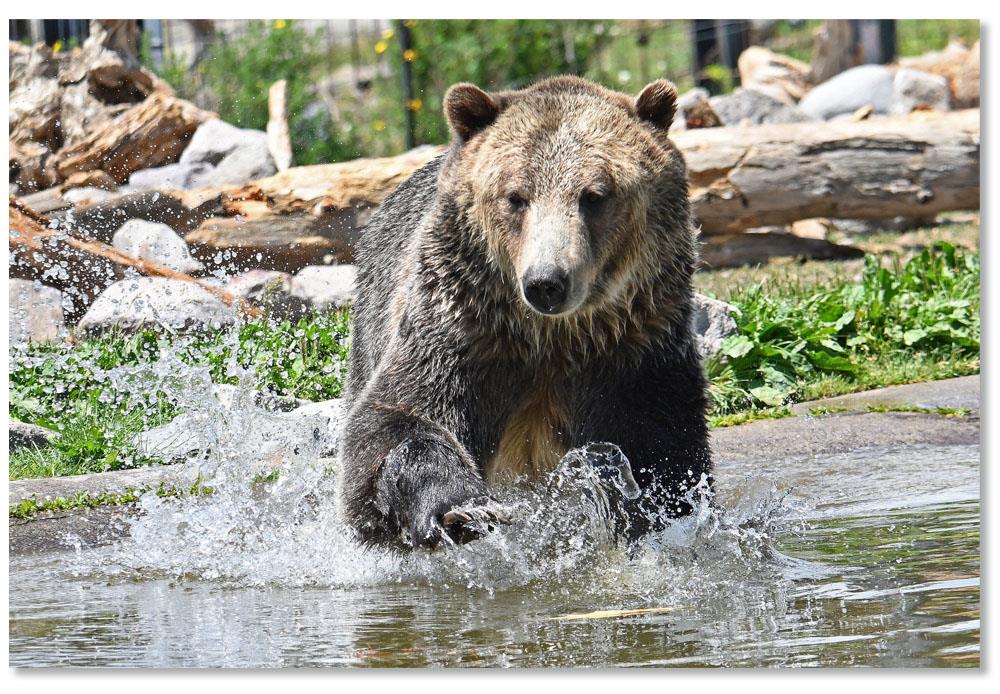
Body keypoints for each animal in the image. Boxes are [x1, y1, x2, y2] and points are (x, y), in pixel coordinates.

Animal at [338, 75, 711, 549]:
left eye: (594, 196)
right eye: (516, 197)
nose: (546, 281)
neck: (549, 337)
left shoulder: (634, 352)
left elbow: (662, 448)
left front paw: (657, 513)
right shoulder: (460, 332)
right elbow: (395, 421)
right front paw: (463, 510)